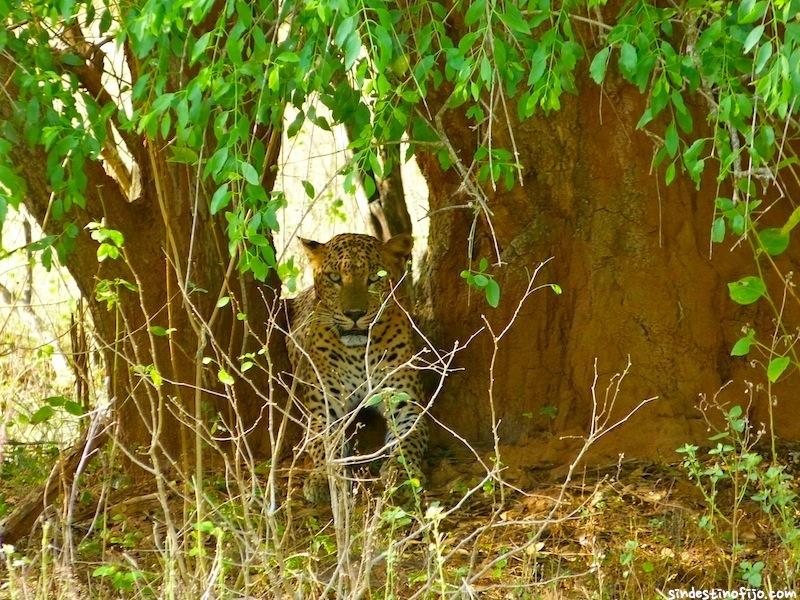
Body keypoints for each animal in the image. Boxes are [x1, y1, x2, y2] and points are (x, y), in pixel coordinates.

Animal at [284, 232, 428, 504]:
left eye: (374, 278)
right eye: (334, 278)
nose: (354, 314)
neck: (357, 352)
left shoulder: (405, 404)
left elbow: (409, 438)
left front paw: (402, 472)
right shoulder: (325, 411)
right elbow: (325, 445)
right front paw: (324, 477)